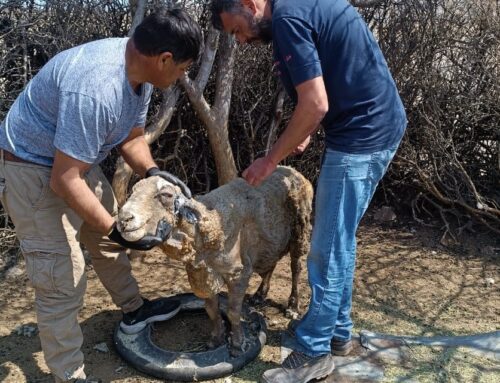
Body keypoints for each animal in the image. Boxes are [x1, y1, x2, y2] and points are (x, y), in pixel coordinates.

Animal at [117, 166, 312, 356]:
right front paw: (216, 338)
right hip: (269, 242)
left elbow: (233, 312)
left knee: (296, 268)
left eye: (166, 195)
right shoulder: (202, 274)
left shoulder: (238, 274)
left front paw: (237, 344)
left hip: (299, 231)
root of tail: (291, 170)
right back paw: (259, 295)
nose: (124, 219)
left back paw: (293, 306)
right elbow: (211, 310)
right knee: (271, 264)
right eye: (133, 191)